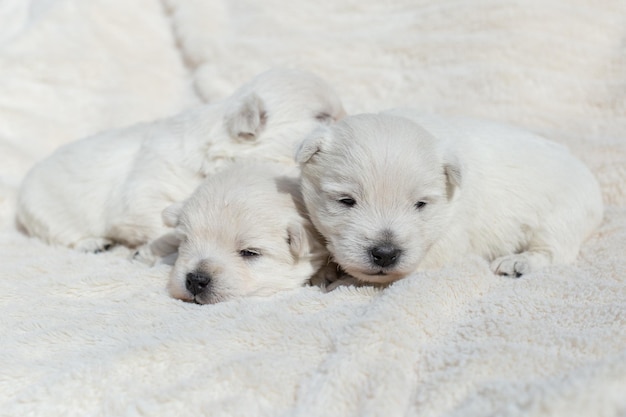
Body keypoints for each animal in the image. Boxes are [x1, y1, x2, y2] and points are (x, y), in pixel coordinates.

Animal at [15, 67, 346, 254]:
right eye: (322, 117)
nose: (348, 117)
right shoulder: (146, 193)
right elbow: (159, 222)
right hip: (42, 211)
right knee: (60, 236)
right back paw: (93, 243)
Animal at [294, 109, 604, 284]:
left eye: (420, 204)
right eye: (346, 201)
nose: (385, 254)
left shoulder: (450, 237)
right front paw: (322, 271)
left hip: (561, 216)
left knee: (555, 250)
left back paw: (518, 263)